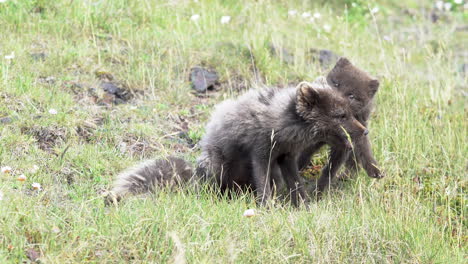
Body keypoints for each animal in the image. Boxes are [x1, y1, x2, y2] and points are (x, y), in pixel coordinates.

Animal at [107, 80, 370, 206]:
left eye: (350, 112)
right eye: (340, 115)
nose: (364, 131)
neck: (285, 124)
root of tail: (195, 174)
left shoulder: (285, 157)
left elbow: (296, 184)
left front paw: (304, 206)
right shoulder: (261, 153)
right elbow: (263, 184)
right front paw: (267, 208)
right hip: (216, 165)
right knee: (212, 188)